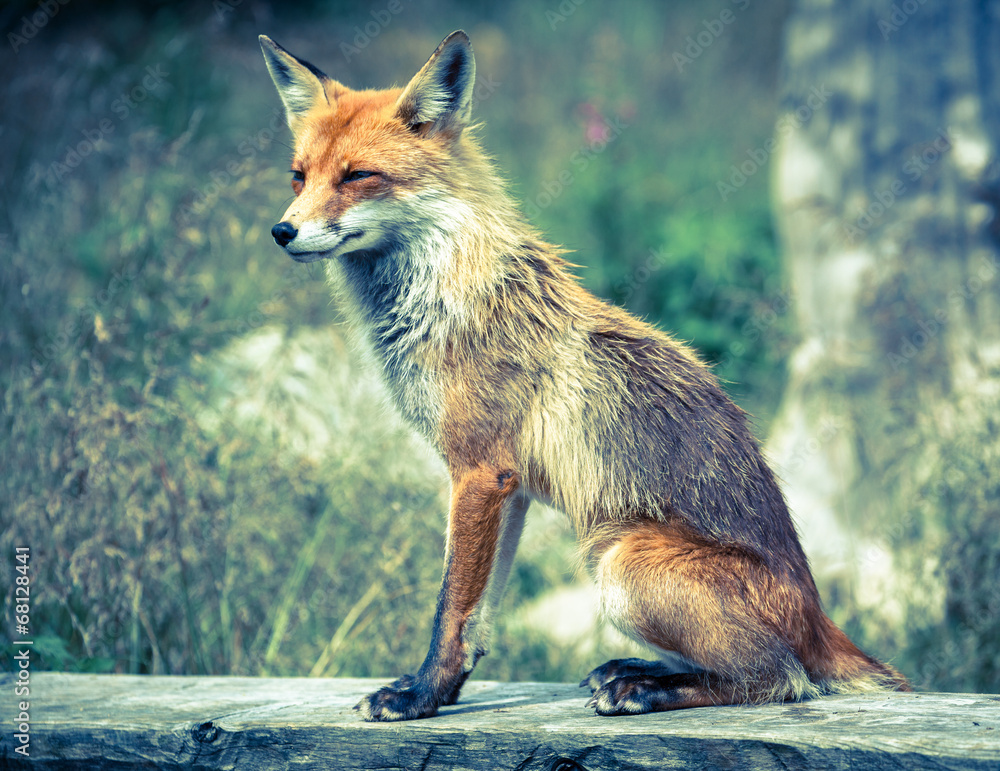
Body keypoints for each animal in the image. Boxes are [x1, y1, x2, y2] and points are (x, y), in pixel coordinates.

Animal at [258, 29, 910, 721]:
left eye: (358, 176)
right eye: (299, 176)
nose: (282, 230)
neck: (443, 295)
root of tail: (819, 618)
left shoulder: (478, 471)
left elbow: (450, 608)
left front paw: (422, 695)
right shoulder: (508, 487)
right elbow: (479, 617)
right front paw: (447, 690)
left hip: (620, 563)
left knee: (781, 679)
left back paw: (648, 688)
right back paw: (635, 669)